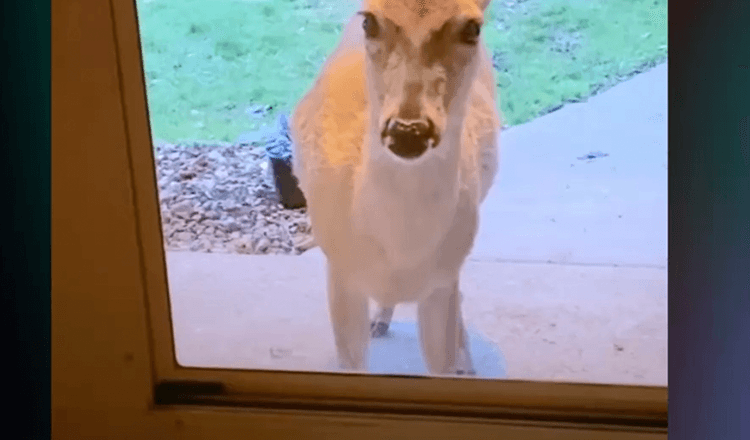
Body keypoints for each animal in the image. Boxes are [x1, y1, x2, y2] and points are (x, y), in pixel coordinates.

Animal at [290, 0, 502, 376]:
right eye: (369, 22)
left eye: (472, 28)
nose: (408, 130)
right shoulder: (340, 274)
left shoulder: (442, 280)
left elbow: (443, 362)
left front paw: (460, 363)